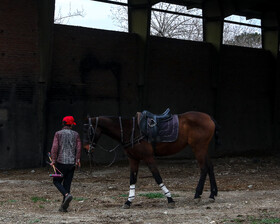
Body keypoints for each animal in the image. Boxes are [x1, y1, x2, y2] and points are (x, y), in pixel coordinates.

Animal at [83, 111, 221, 209]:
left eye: (89, 131)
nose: (86, 149)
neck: (131, 130)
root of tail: (209, 117)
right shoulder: (133, 159)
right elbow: (132, 179)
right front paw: (128, 201)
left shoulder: (148, 157)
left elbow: (157, 177)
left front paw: (170, 199)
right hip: (203, 148)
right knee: (210, 167)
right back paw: (212, 195)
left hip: (198, 147)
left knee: (204, 168)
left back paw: (197, 195)